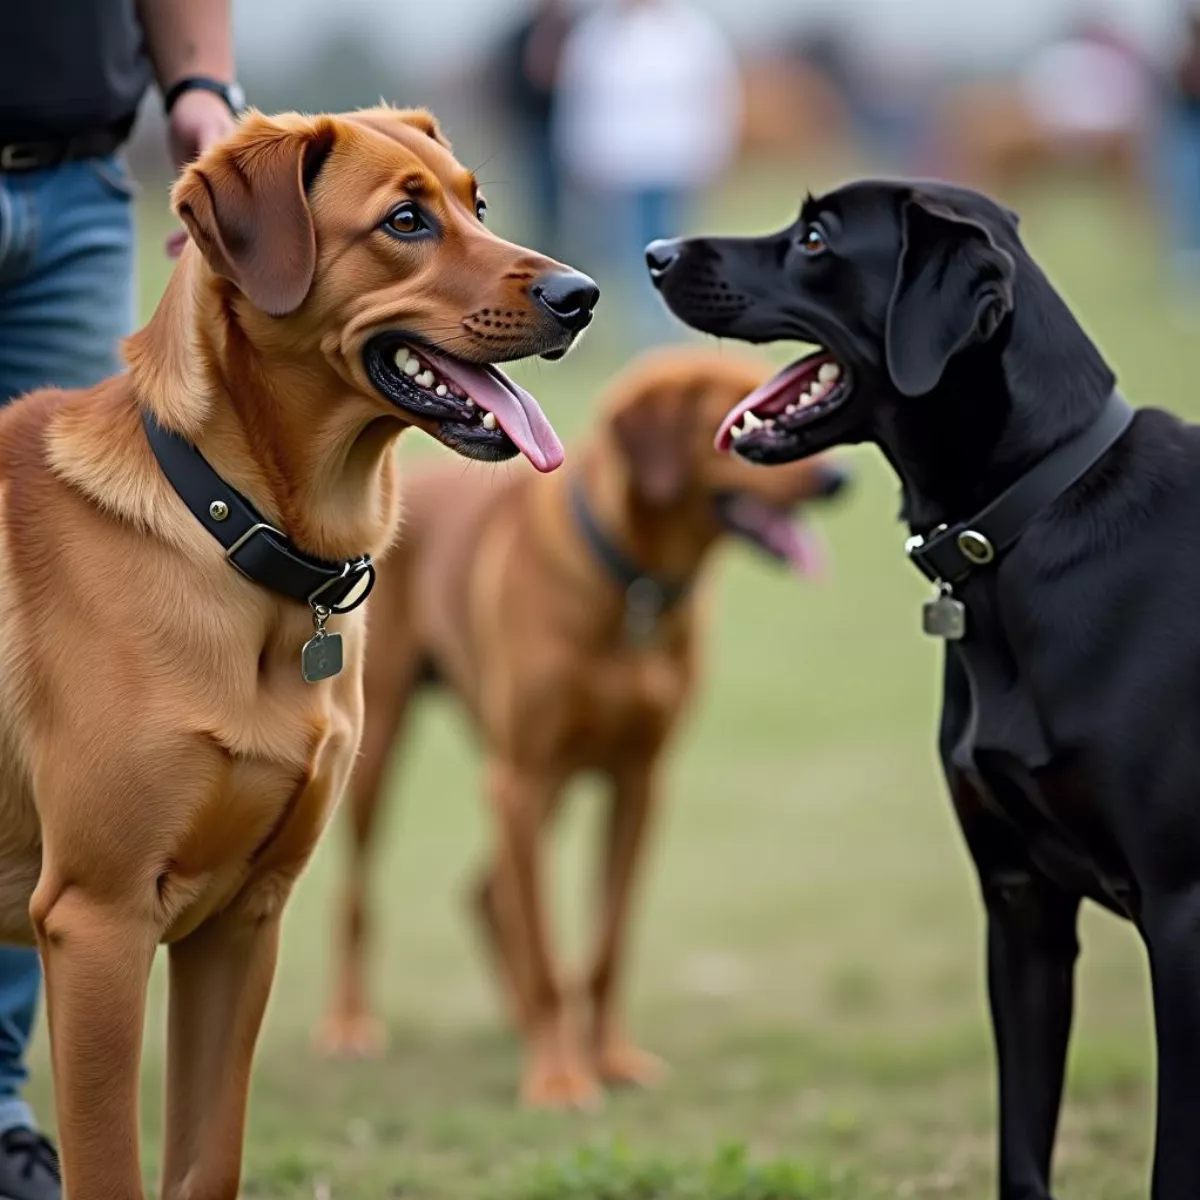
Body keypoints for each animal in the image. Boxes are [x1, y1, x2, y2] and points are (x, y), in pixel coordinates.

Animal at [0, 105, 592, 1200]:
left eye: (476, 204)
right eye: (405, 220)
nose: (583, 295)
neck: (233, 528)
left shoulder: (241, 921)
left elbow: (206, 1164)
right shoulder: (98, 922)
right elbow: (111, 1166)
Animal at [316, 345, 844, 1104]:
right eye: (735, 417)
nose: (839, 476)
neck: (634, 584)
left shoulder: (638, 783)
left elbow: (606, 947)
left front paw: (611, 1059)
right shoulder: (520, 780)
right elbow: (545, 952)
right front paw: (560, 1078)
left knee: (487, 892)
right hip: (387, 753)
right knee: (359, 899)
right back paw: (352, 1026)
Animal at [652, 180, 1200, 1200]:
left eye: (816, 236)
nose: (657, 253)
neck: (1019, 519)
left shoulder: (1184, 916)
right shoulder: (1019, 907)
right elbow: (1022, 1150)